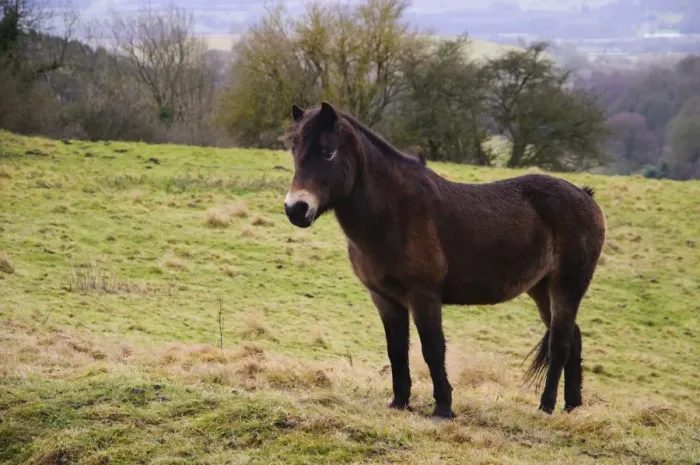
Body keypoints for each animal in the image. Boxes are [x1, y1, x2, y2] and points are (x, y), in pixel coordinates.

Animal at [281, 101, 606, 420]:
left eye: (327, 151)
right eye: (295, 151)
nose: (296, 209)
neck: (394, 213)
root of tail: (586, 196)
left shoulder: (423, 295)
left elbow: (432, 349)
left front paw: (443, 408)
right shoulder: (384, 298)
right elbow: (396, 350)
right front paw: (399, 402)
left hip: (566, 288)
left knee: (560, 343)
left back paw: (547, 407)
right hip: (540, 289)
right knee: (573, 338)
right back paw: (571, 407)